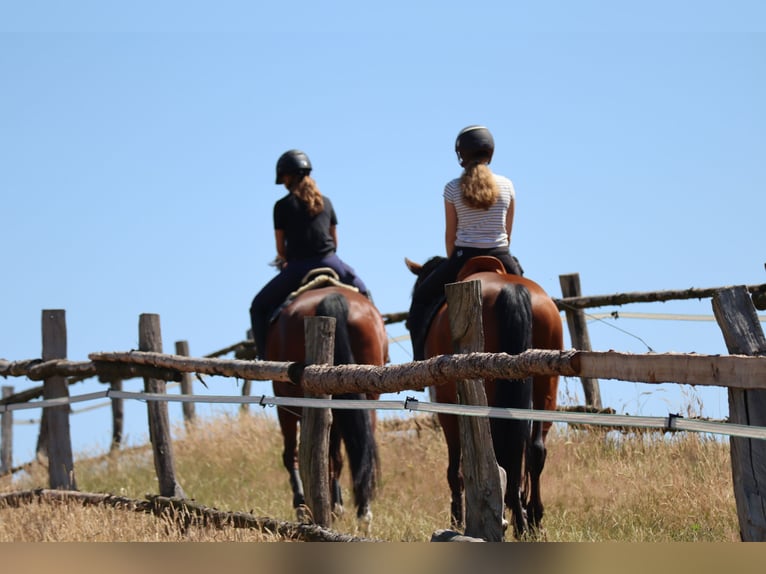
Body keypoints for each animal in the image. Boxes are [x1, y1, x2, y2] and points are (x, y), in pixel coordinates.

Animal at [264, 282, 388, 528]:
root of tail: (331, 297)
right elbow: (336, 456)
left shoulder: (285, 407)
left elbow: (293, 454)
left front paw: (303, 504)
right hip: (366, 396)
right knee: (358, 451)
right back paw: (363, 512)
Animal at [404, 256, 560, 540]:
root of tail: (511, 290)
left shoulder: (448, 409)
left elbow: (455, 469)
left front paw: (456, 520)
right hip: (546, 386)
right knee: (533, 451)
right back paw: (531, 520)